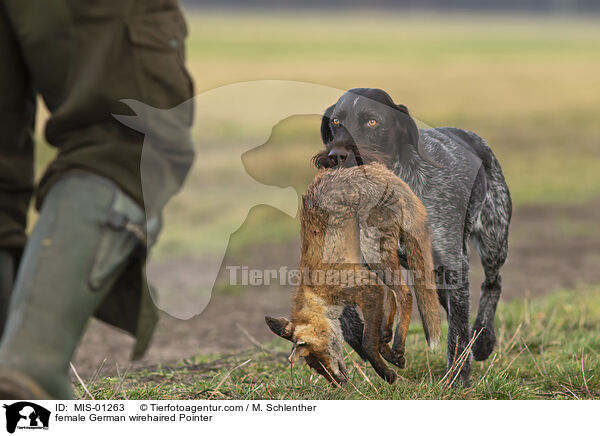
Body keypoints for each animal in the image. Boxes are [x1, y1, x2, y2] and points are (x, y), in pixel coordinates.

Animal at [264, 163, 438, 384]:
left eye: (320, 359)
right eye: (314, 367)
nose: (339, 385)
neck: (316, 292)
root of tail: (384, 174)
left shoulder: (367, 289)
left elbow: (367, 344)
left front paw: (386, 373)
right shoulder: (367, 282)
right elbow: (373, 336)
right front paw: (387, 354)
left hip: (373, 251)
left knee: (404, 293)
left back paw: (398, 344)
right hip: (375, 258)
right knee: (394, 294)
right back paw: (389, 338)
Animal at [314, 87, 510, 384]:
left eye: (372, 122)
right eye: (336, 122)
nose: (336, 155)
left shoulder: (453, 264)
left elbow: (458, 330)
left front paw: (457, 378)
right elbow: (348, 312)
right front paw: (370, 344)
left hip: (493, 238)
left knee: (492, 284)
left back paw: (484, 339)